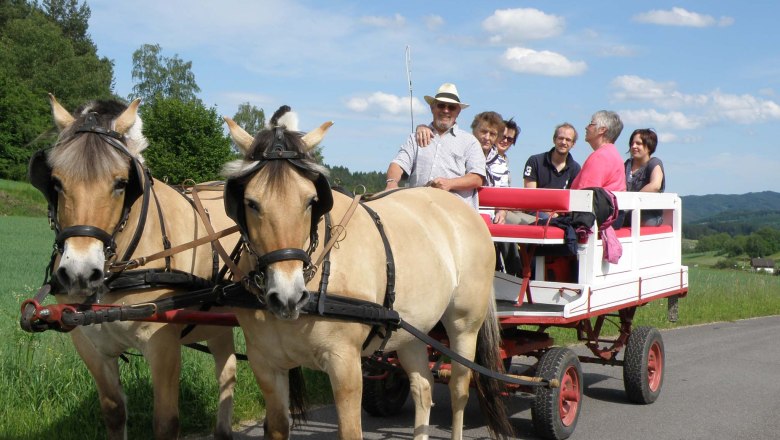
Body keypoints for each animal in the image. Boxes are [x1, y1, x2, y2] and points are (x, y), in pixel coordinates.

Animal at [26, 96, 241, 440]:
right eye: (55, 182)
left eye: (121, 183)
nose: (80, 273)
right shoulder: (90, 345)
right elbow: (114, 412)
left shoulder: (162, 344)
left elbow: (166, 422)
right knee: (229, 371)